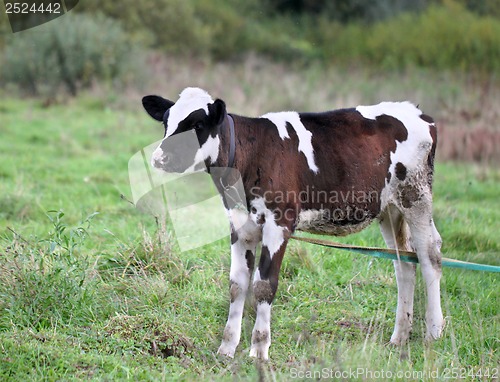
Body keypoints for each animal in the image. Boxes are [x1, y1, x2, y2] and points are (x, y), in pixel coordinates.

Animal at [143, 87, 444, 362]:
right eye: (167, 123)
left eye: (197, 125)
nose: (159, 158)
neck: (251, 155)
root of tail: (420, 113)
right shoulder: (240, 227)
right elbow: (237, 285)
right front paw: (226, 348)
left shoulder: (279, 224)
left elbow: (264, 285)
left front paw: (259, 349)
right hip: (389, 210)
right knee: (404, 263)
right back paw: (399, 336)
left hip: (416, 197)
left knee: (430, 256)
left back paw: (433, 333)